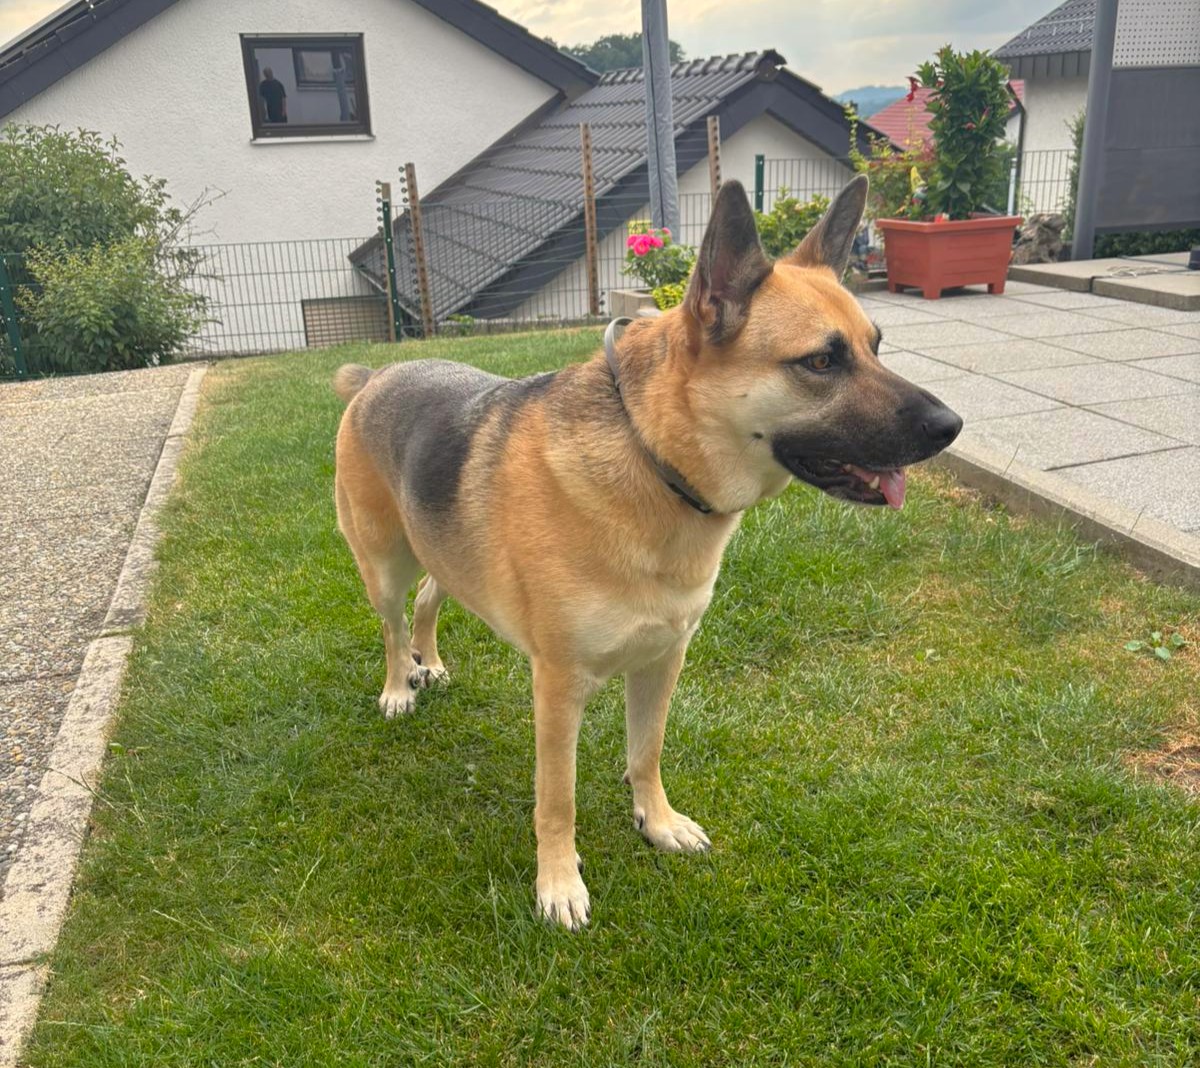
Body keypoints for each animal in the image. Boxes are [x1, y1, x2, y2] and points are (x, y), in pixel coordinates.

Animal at [332, 176, 962, 930]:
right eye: (820, 362)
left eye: (876, 346)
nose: (953, 426)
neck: (653, 459)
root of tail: (376, 375)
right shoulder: (558, 688)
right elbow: (558, 797)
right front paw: (558, 882)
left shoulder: (663, 661)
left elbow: (647, 751)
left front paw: (655, 822)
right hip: (383, 565)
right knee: (394, 623)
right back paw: (401, 683)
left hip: (444, 558)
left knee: (430, 600)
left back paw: (429, 662)